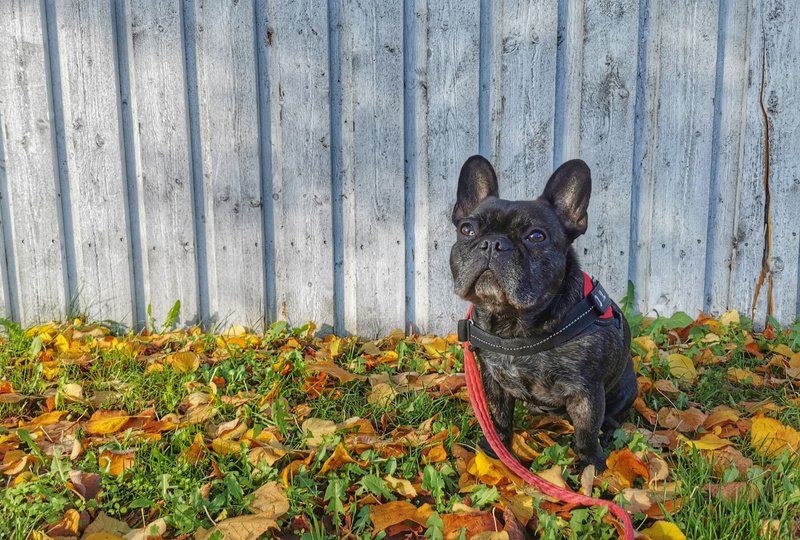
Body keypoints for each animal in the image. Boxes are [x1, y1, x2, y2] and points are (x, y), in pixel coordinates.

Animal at [450, 154, 636, 470]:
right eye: (467, 230)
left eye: (536, 236)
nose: (492, 243)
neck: (514, 324)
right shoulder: (493, 380)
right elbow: (498, 419)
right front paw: (493, 451)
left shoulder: (587, 394)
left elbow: (586, 435)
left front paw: (593, 470)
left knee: (609, 420)